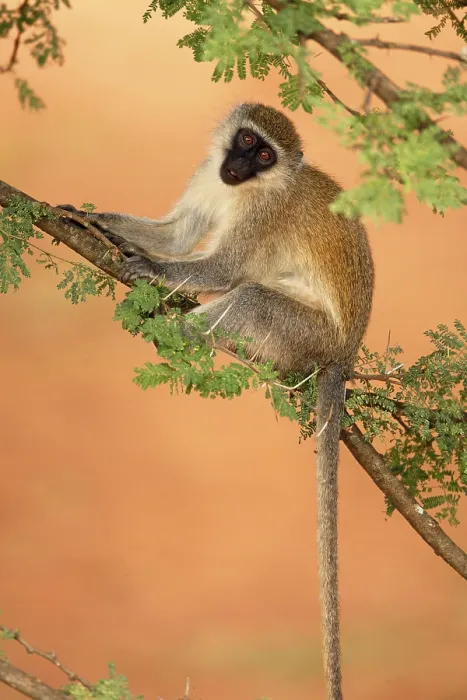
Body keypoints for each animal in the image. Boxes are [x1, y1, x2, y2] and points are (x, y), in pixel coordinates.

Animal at [59, 102, 374, 700]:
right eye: (247, 141)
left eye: (265, 155)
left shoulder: (264, 216)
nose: (239, 166)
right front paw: (89, 219)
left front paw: (149, 268)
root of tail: (344, 351)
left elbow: (221, 268)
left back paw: (179, 331)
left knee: (247, 295)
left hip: (301, 333)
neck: (251, 189)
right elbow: (178, 233)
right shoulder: (209, 175)